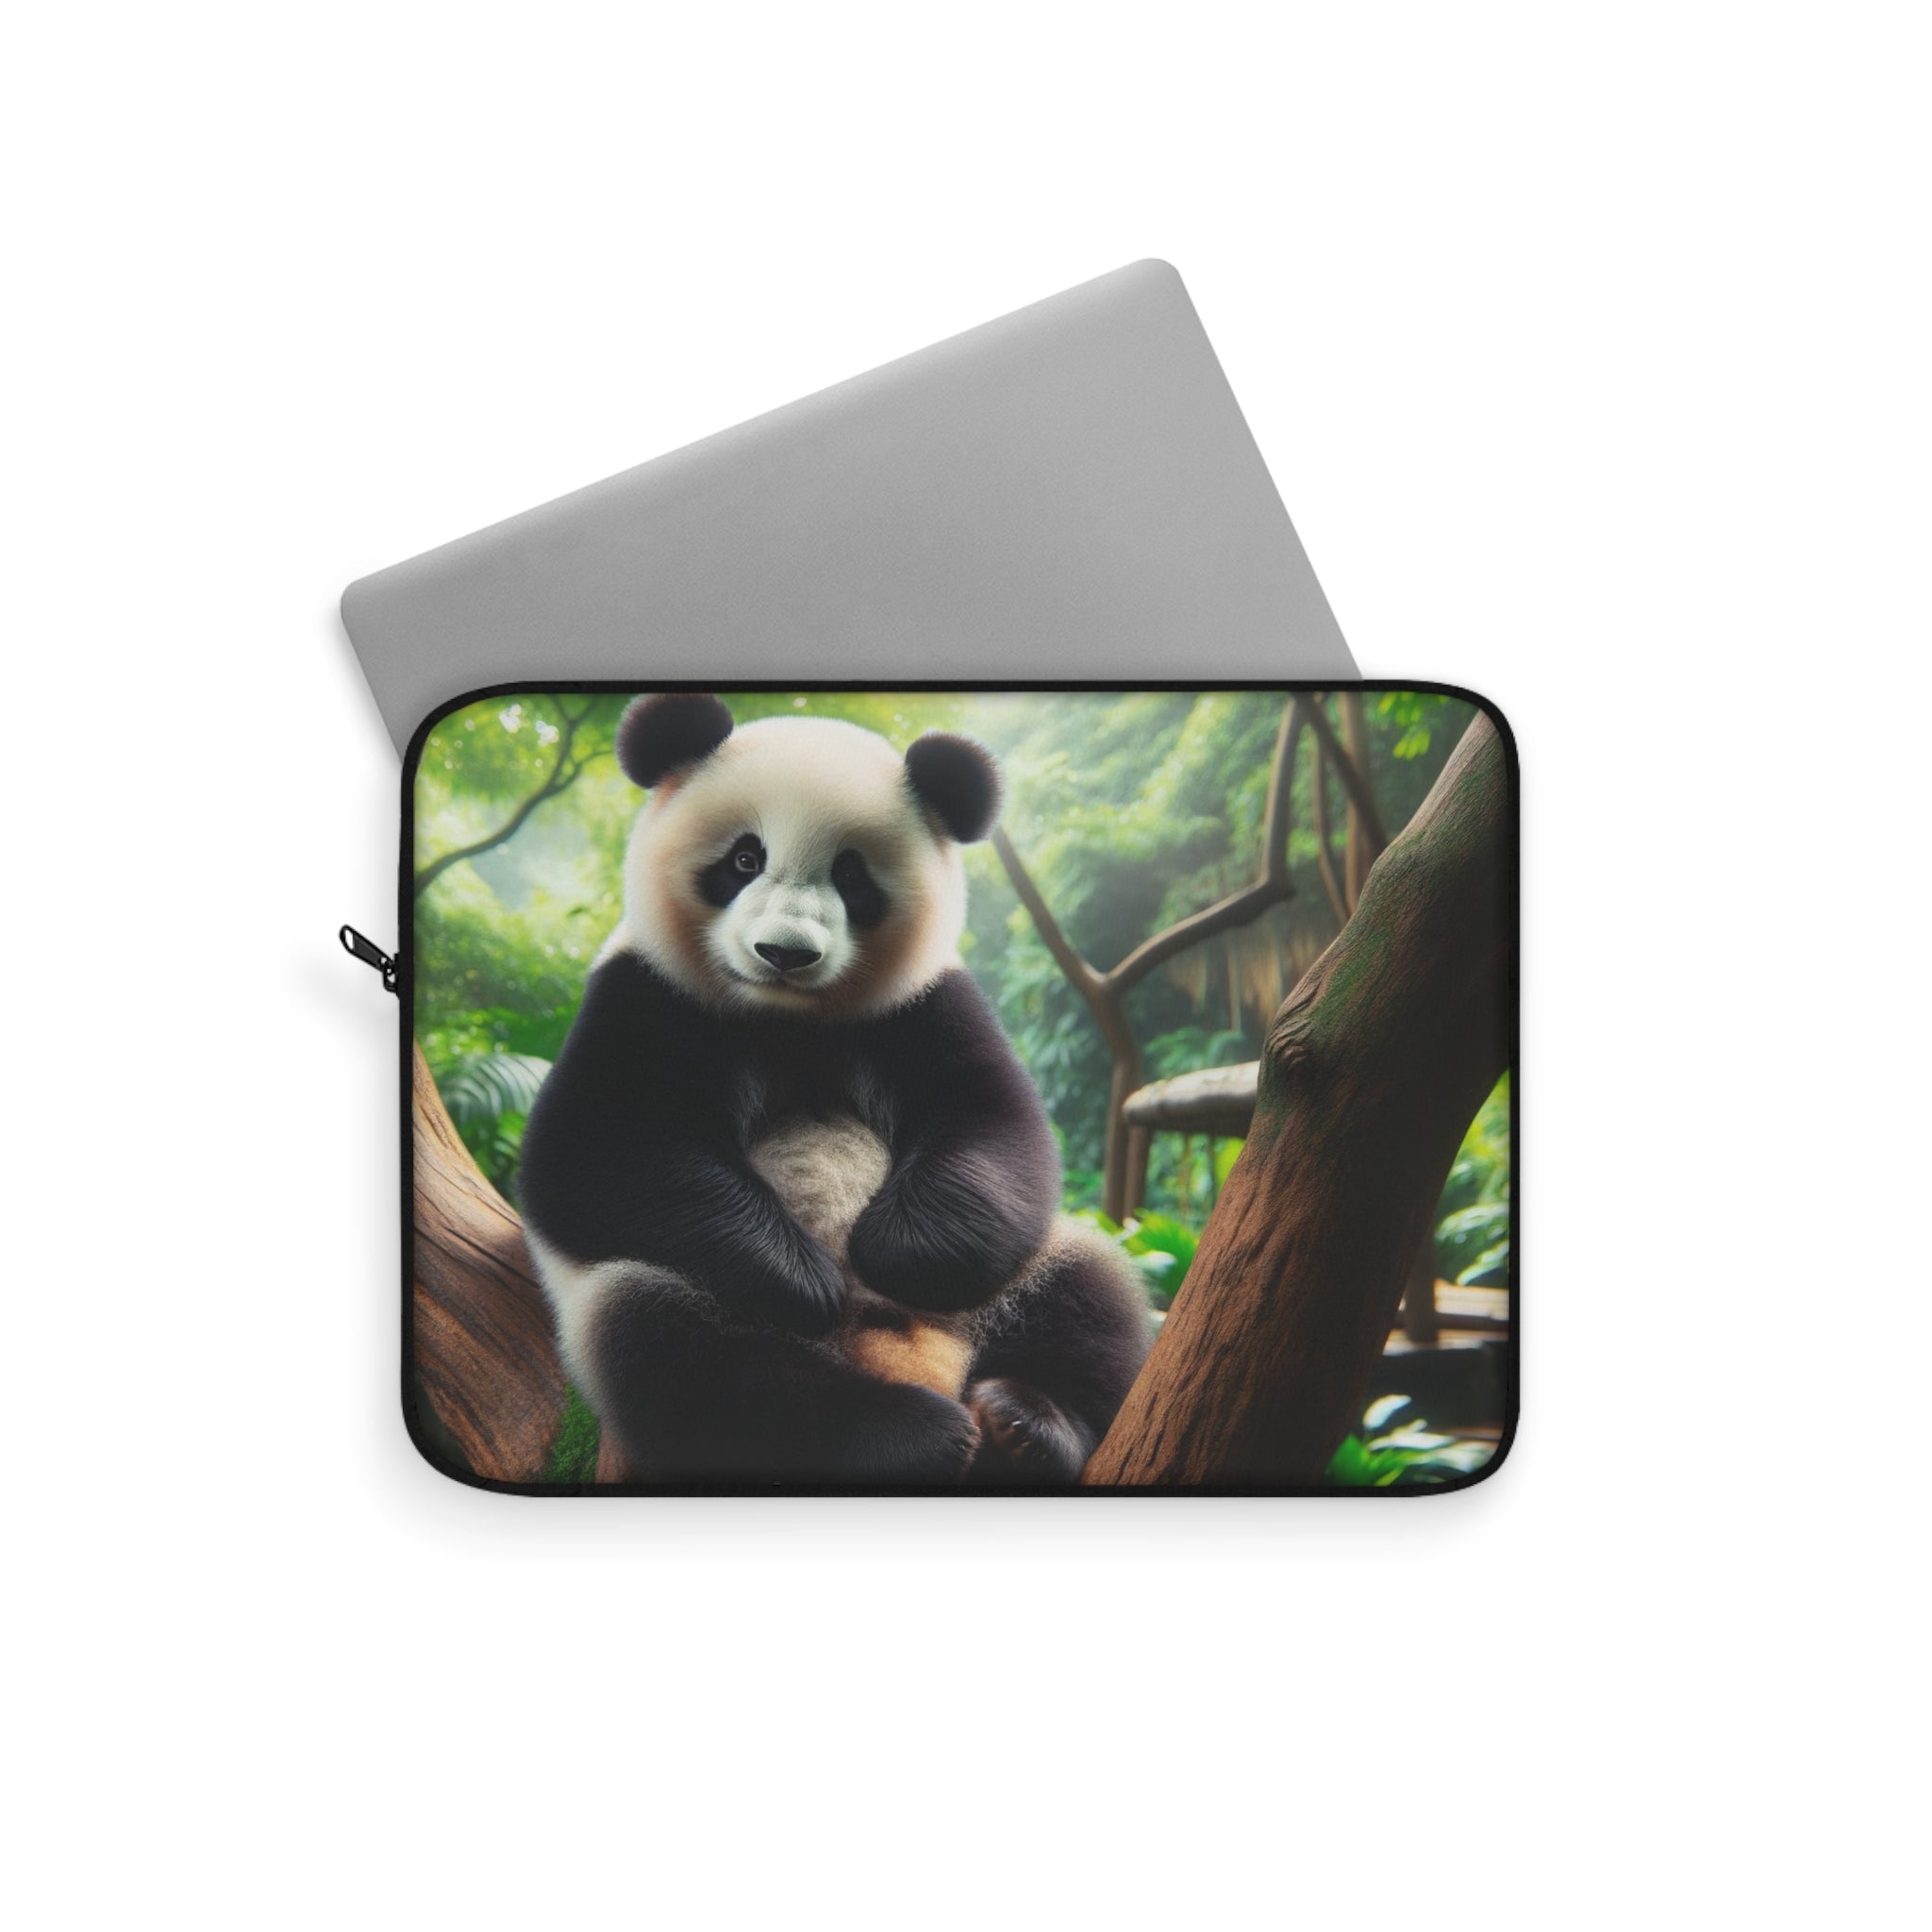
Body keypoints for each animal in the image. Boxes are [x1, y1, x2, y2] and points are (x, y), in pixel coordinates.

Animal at [517, 692, 1152, 1488]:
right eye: (745, 858)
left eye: (853, 877)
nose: (784, 953)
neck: (790, 1017)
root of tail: (917, 1365)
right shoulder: (645, 992)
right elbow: (591, 1152)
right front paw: (807, 1278)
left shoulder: (923, 1003)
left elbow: (994, 1128)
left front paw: (888, 1252)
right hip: (664, 1302)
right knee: (688, 1362)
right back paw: (901, 1434)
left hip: (1021, 1276)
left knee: (1089, 1295)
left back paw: (1028, 1425)